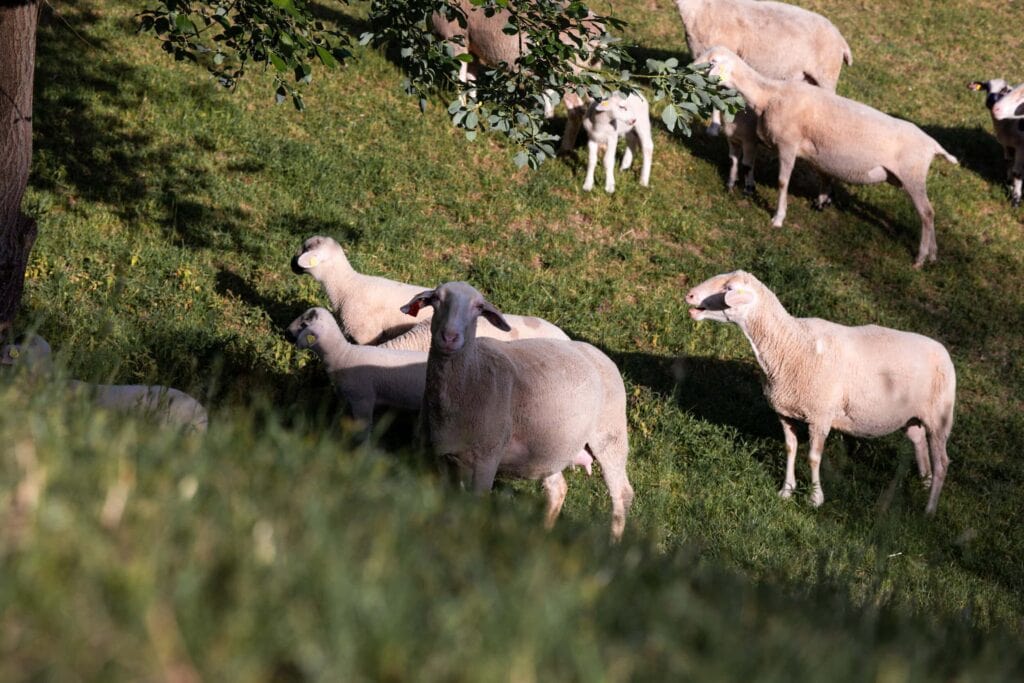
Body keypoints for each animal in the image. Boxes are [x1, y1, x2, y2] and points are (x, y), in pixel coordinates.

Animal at [286, 307, 426, 434]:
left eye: (304, 324)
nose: (286, 333)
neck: (342, 355)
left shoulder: (362, 400)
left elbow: (362, 433)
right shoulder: (346, 400)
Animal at [401, 281, 633, 539]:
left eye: (478, 307)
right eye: (436, 299)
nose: (450, 337)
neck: (473, 375)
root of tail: (598, 352)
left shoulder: (487, 458)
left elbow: (474, 505)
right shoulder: (443, 457)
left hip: (610, 435)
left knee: (622, 494)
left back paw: (614, 541)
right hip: (550, 445)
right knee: (558, 489)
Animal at [430, 0, 602, 153]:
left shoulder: (457, 40)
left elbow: (460, 80)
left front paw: (460, 112)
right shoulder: (474, 49)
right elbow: (471, 81)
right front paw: (472, 108)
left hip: (566, 74)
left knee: (576, 112)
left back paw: (564, 149)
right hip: (589, 73)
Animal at [685, 270, 955, 514]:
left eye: (728, 289)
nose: (689, 295)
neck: (790, 343)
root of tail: (943, 351)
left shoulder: (820, 415)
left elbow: (814, 458)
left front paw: (815, 499)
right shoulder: (786, 412)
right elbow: (790, 448)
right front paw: (786, 491)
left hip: (940, 417)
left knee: (942, 462)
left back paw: (929, 511)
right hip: (913, 419)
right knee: (921, 446)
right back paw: (923, 486)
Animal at [699, 47, 959, 268]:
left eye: (712, 62)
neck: (770, 95)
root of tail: (932, 145)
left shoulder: (788, 145)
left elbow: (783, 182)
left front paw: (778, 218)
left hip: (913, 176)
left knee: (927, 214)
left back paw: (922, 258)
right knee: (928, 214)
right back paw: (933, 255)